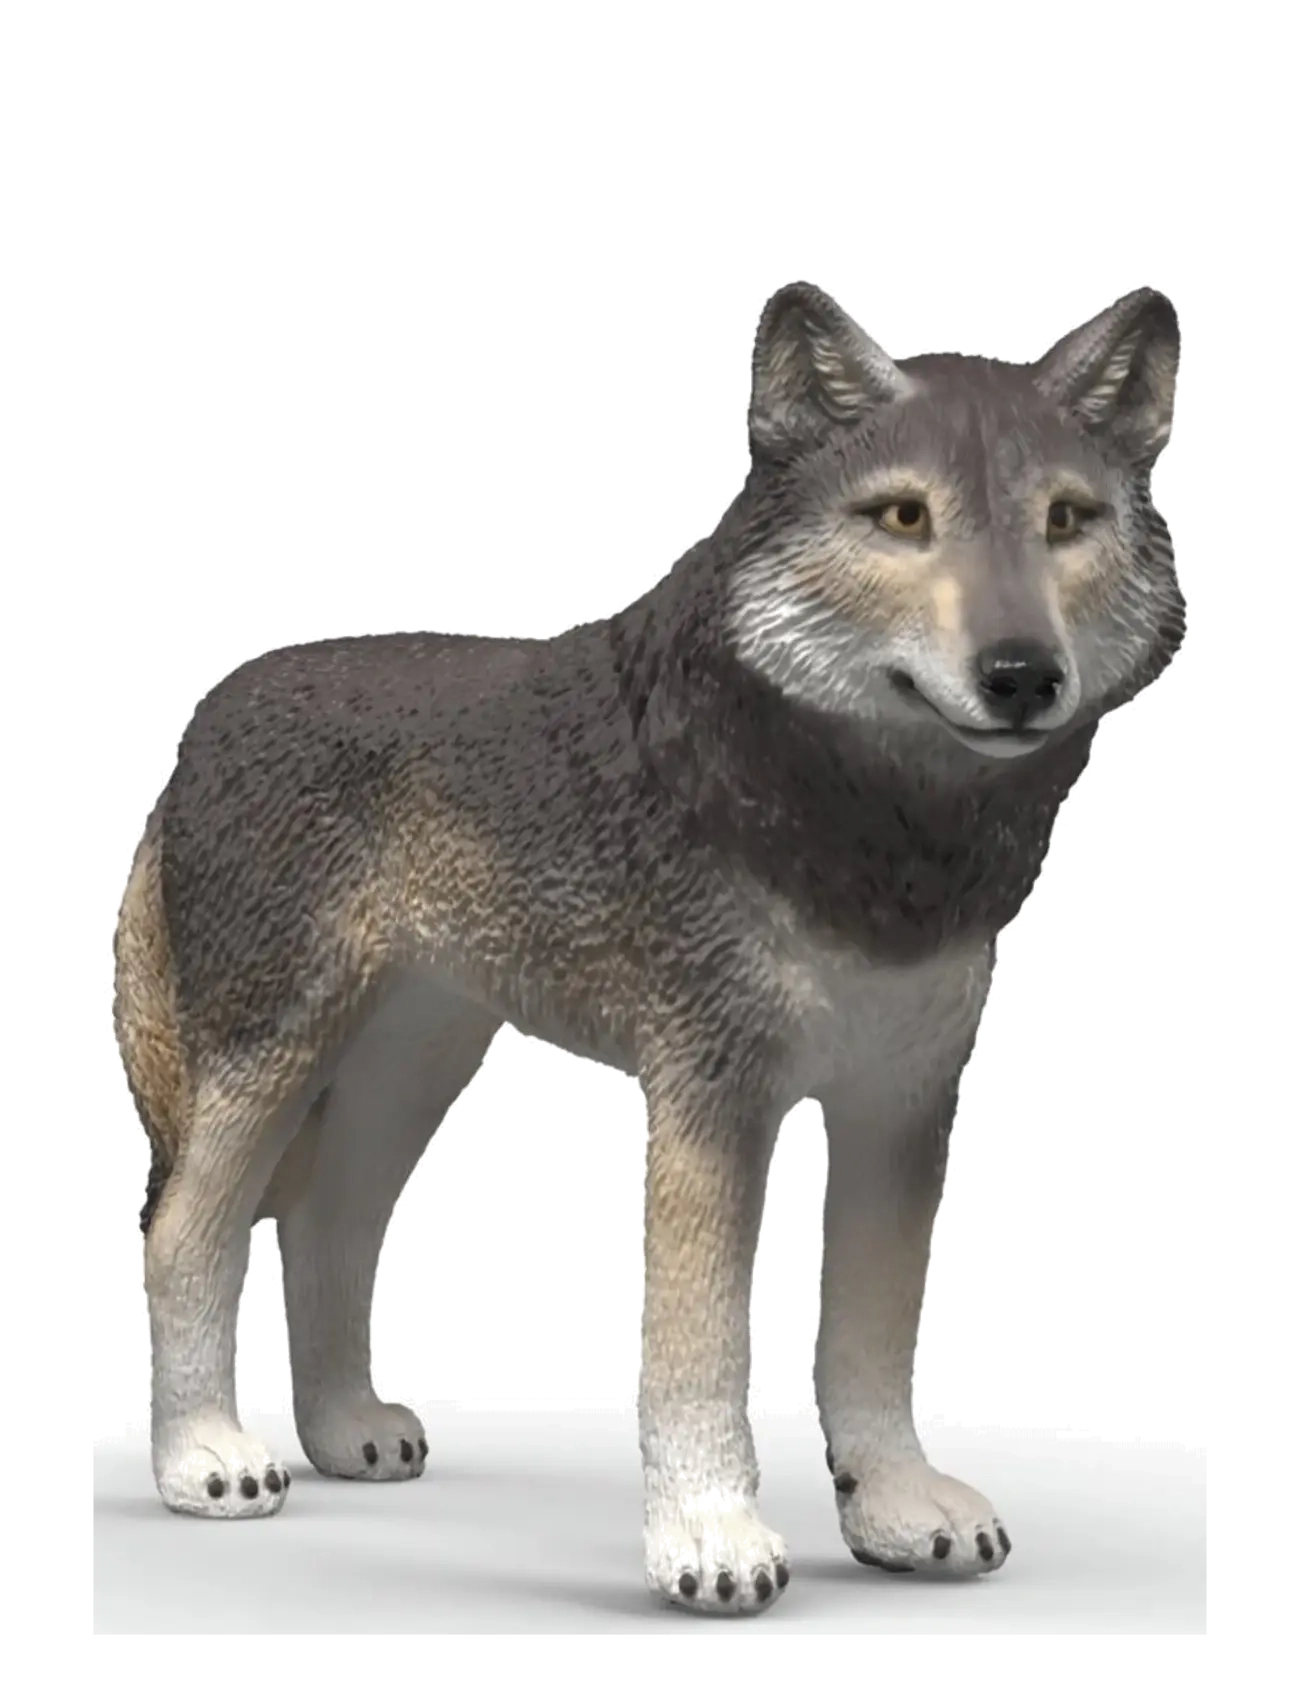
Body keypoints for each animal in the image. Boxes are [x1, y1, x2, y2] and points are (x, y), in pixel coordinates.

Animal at [113, 280, 1184, 1616]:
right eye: (903, 517)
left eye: (1066, 520)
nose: (1022, 674)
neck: (879, 829)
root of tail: (207, 713)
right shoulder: (708, 1095)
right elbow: (697, 1347)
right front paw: (711, 1538)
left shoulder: (901, 1094)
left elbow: (871, 1337)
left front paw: (893, 1508)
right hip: (275, 1054)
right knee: (183, 1227)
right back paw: (205, 1456)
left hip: (408, 1066)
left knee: (328, 1222)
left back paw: (346, 1430)